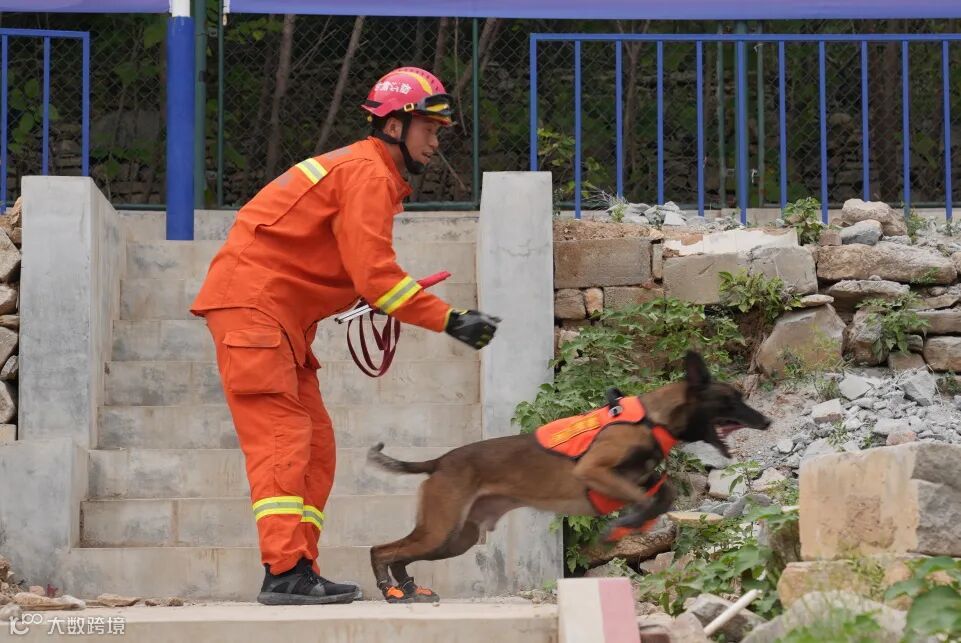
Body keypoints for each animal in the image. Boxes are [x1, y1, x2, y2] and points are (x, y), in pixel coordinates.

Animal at [366, 351, 771, 603]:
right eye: (731, 400)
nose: (767, 421)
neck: (652, 419)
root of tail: (439, 461)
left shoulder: (631, 478)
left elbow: (663, 490)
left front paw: (632, 522)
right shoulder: (593, 471)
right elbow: (649, 498)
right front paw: (624, 525)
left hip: (455, 539)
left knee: (400, 554)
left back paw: (408, 591)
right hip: (442, 530)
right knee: (380, 550)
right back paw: (390, 591)